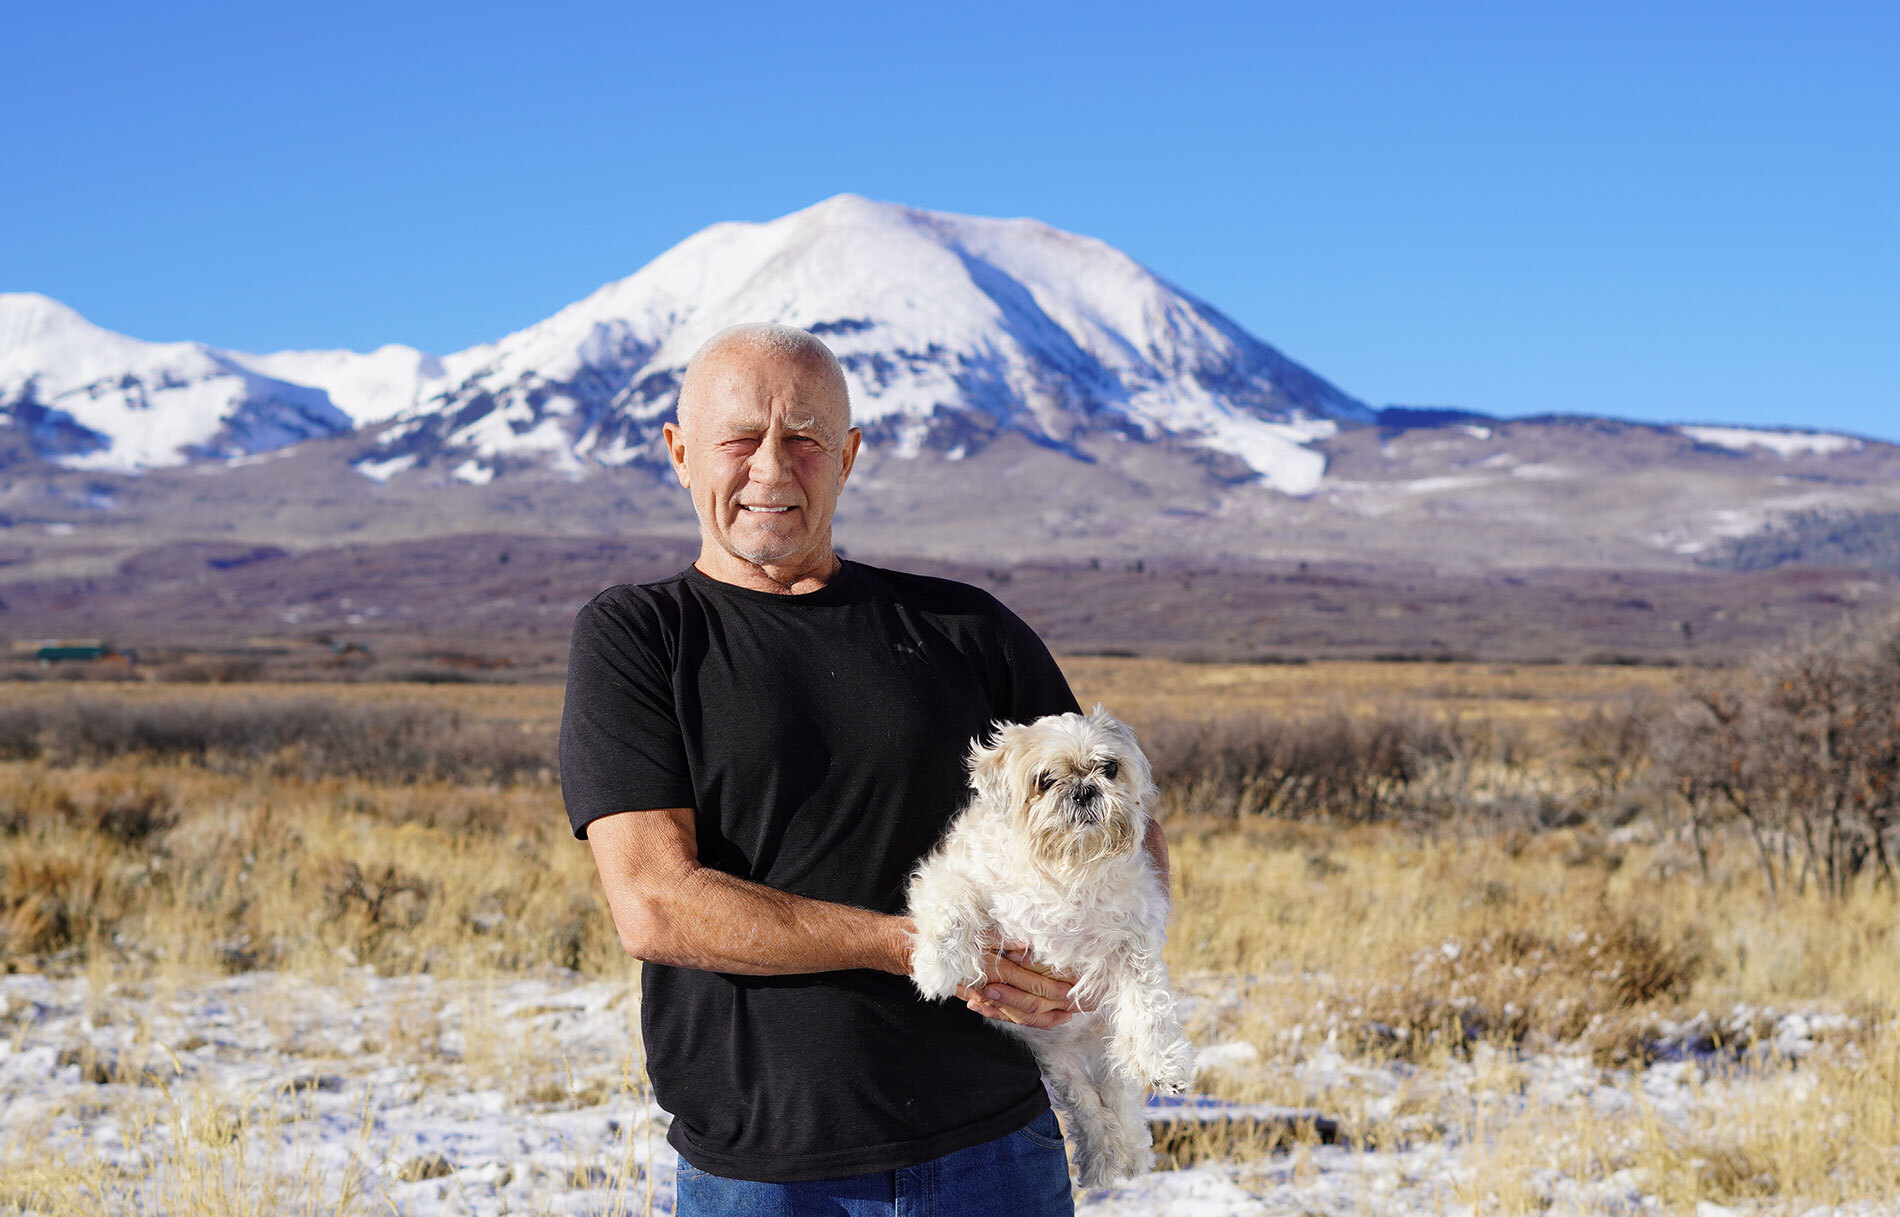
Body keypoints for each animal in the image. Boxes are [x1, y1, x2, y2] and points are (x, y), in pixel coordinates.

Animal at [904, 702, 1185, 1184]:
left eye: (1109, 768)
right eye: (1045, 780)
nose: (1084, 790)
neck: (1064, 867)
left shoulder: (1133, 940)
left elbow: (1149, 1009)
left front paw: (1163, 1066)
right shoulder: (951, 875)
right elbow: (952, 908)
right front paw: (936, 969)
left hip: (1102, 1043)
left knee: (1118, 1099)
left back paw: (1126, 1156)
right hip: (1061, 1065)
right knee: (1089, 1107)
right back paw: (1102, 1160)